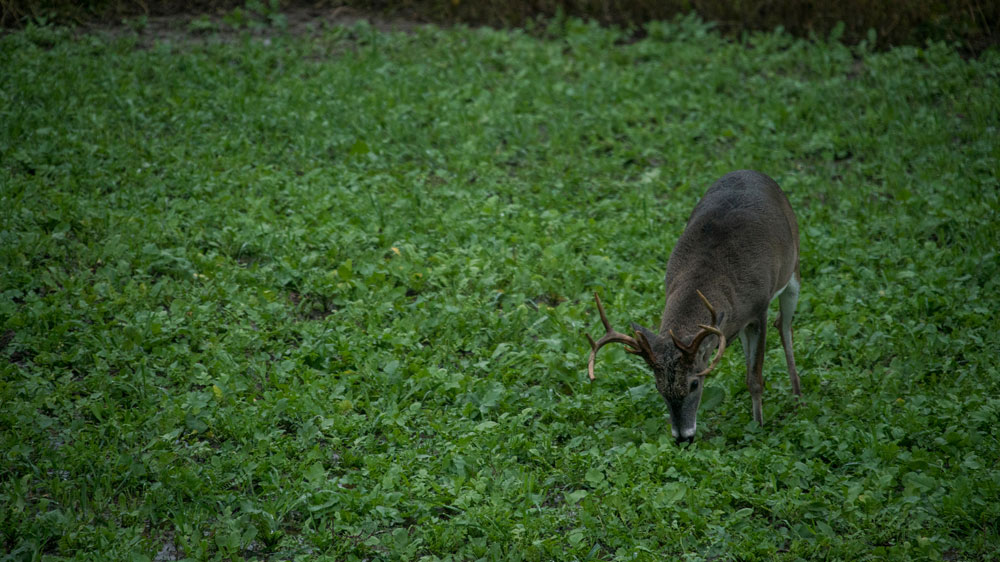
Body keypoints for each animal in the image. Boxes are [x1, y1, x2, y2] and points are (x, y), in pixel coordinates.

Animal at [588, 168, 800, 444]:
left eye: (695, 384)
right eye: (658, 387)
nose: (683, 437)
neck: (709, 272)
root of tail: (751, 171)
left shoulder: (760, 307)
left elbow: (755, 377)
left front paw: (759, 427)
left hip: (793, 267)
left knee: (784, 325)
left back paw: (798, 397)